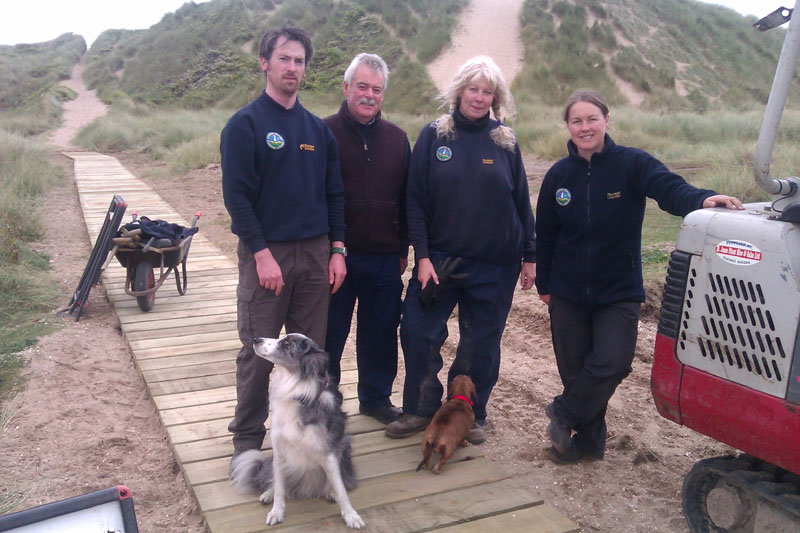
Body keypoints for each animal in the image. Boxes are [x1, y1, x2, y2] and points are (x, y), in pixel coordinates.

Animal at [228, 332, 366, 528]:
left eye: (286, 344)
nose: (256, 339)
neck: (293, 388)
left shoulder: (327, 451)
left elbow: (340, 489)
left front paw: (351, 516)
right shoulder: (279, 449)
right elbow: (279, 487)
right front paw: (276, 512)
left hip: (344, 444)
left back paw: (329, 491)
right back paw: (268, 493)